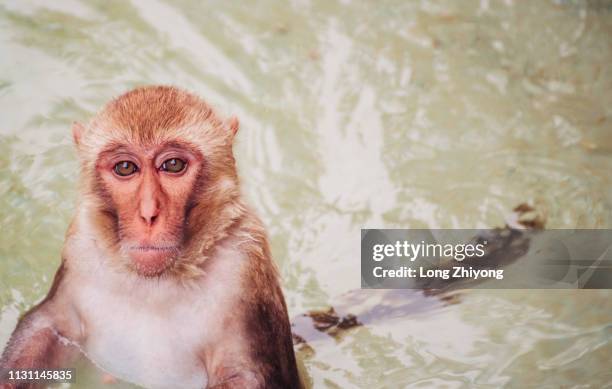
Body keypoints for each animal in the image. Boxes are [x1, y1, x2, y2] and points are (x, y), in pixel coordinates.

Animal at [0, 85, 302, 388]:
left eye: (173, 164)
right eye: (125, 168)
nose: (148, 214)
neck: (154, 285)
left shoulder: (244, 268)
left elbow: (244, 374)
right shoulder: (80, 250)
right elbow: (47, 326)